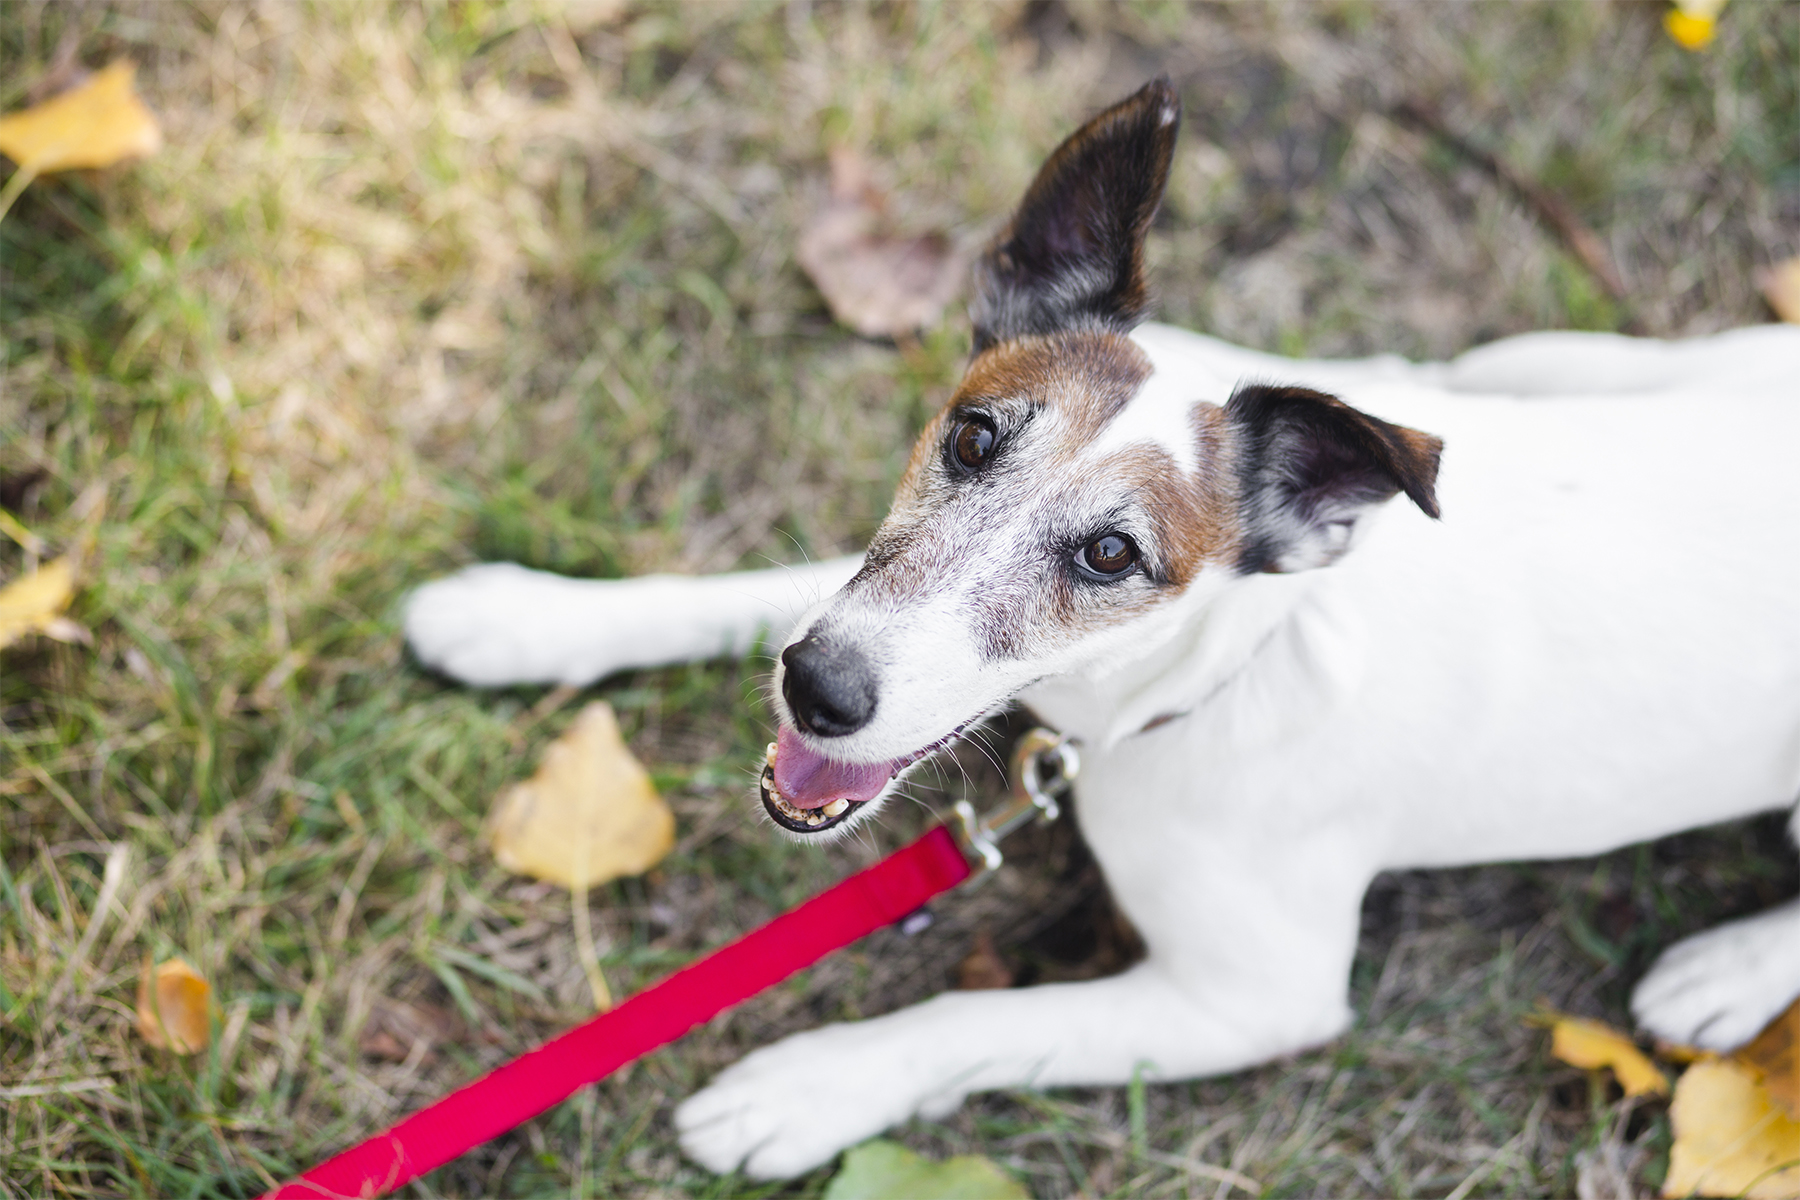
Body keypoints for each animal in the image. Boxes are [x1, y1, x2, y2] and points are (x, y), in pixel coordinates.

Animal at [408, 79, 1800, 1180]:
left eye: (1111, 557)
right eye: (972, 437)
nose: (820, 691)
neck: (1219, 669)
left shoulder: (1252, 996)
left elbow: (976, 1024)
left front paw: (803, 1089)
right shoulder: (855, 600)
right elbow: (762, 587)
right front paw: (527, 613)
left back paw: (1725, 972)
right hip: (1567, 361)